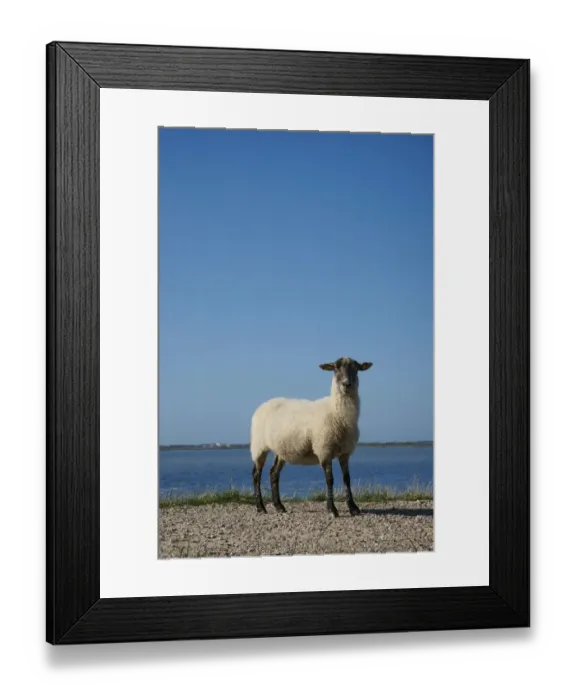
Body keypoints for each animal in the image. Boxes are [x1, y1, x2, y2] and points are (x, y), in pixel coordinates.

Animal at [249, 356, 373, 517]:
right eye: (335, 368)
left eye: (356, 368)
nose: (346, 384)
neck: (337, 413)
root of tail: (263, 404)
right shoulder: (324, 449)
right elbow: (329, 479)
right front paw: (332, 509)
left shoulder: (345, 453)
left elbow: (347, 479)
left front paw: (353, 508)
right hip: (259, 446)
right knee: (256, 474)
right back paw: (260, 507)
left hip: (281, 450)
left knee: (273, 473)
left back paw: (279, 506)